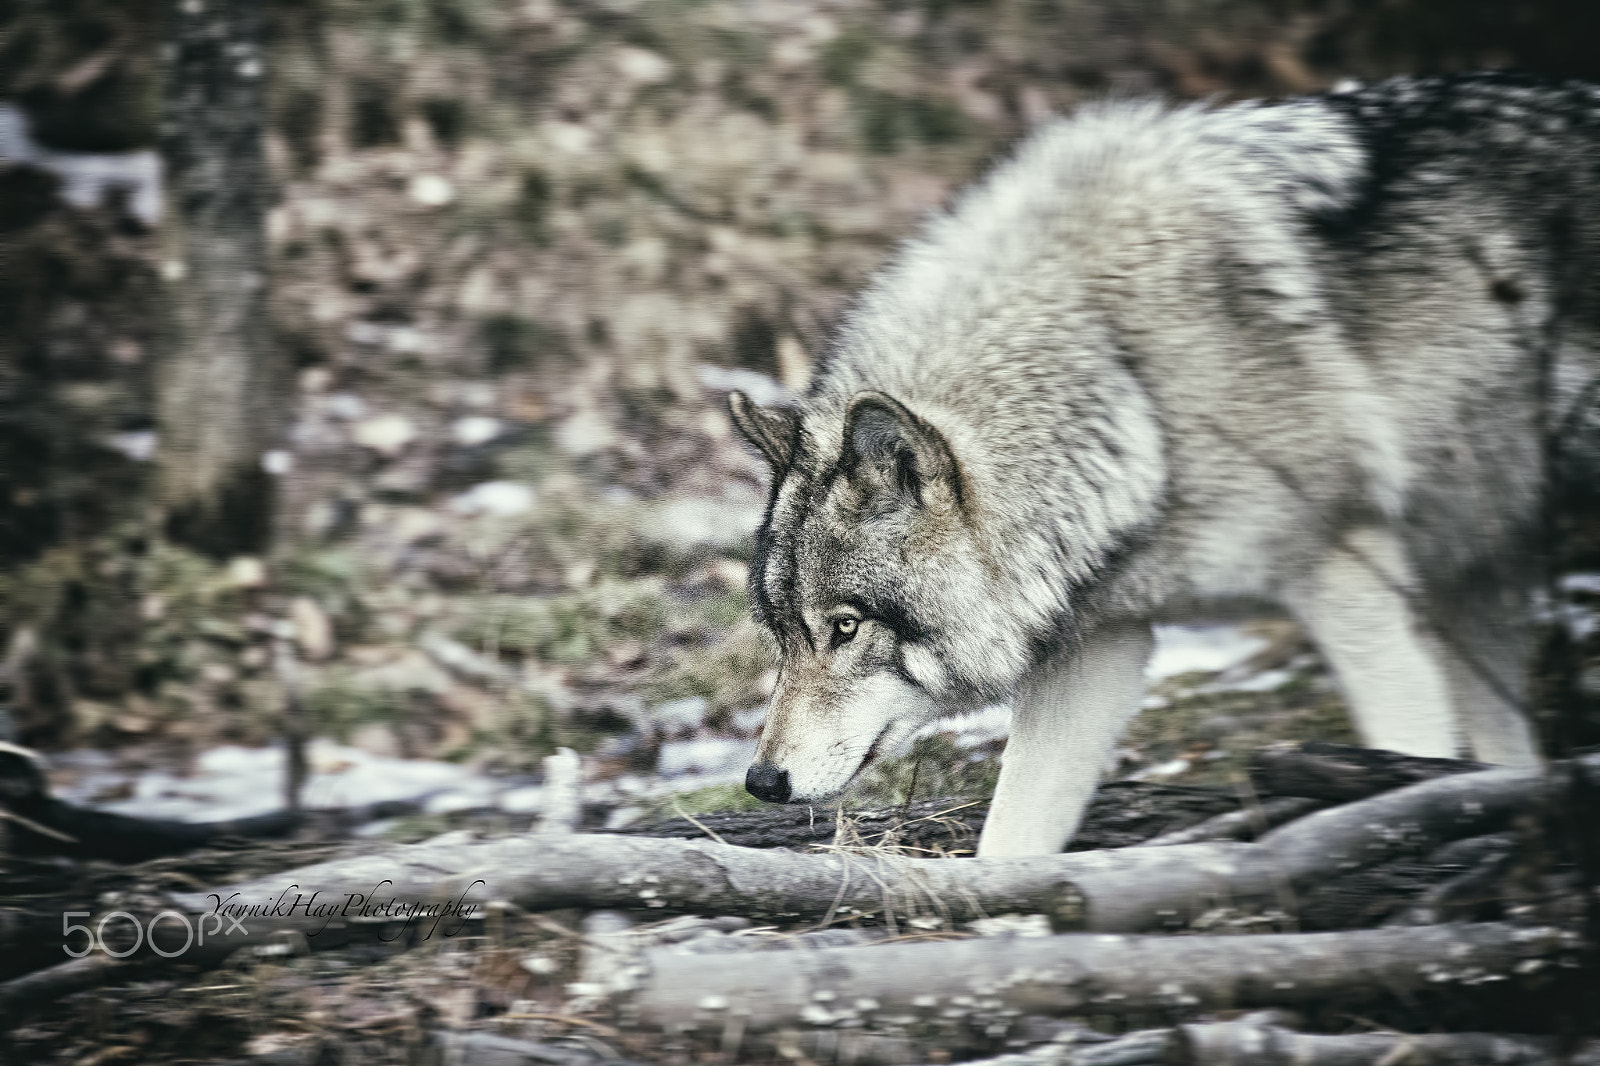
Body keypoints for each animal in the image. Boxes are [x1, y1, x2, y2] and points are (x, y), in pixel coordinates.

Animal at [726, 74, 1600, 857]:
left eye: (845, 627)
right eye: (783, 634)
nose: (761, 783)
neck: (1127, 382)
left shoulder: (1349, 581)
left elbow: (1409, 751)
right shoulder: (1099, 645)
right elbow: (1012, 845)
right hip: (1476, 576)